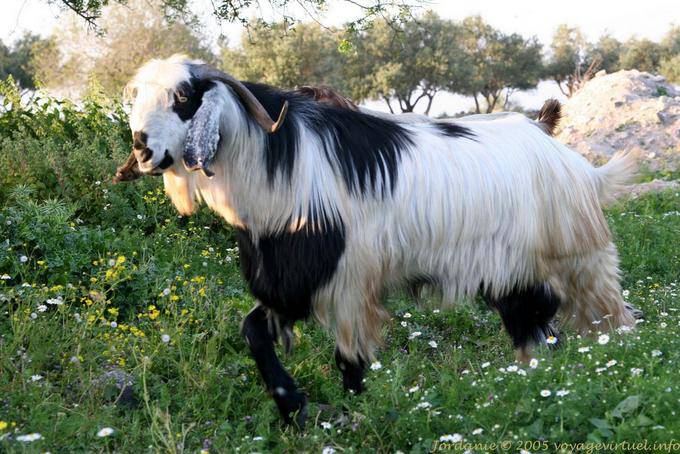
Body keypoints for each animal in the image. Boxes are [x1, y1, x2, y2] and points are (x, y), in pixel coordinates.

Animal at [119, 54, 638, 425]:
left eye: (183, 96)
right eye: (135, 98)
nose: (143, 150)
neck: (283, 167)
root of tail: (560, 150)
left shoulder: (349, 280)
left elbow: (350, 362)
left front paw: (355, 415)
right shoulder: (288, 279)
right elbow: (253, 332)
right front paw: (292, 410)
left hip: (582, 261)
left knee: (611, 321)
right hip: (514, 274)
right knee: (534, 326)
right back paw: (533, 386)